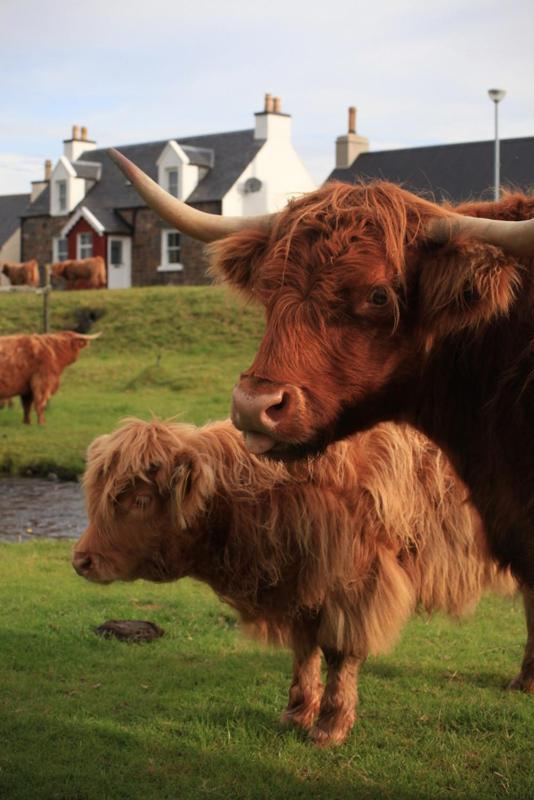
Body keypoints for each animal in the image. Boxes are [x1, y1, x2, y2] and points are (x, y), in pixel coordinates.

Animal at [73, 418, 528, 752]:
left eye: (140, 500)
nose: (81, 560)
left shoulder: (356, 587)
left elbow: (340, 653)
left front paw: (329, 727)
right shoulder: (301, 591)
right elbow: (304, 650)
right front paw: (296, 713)